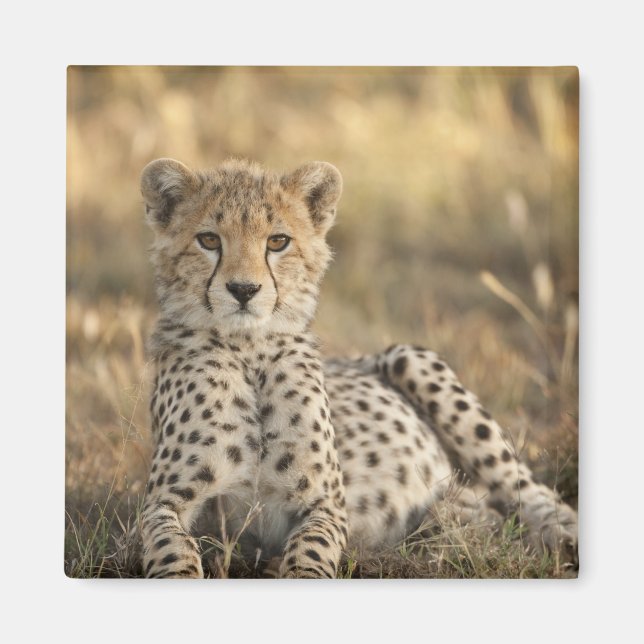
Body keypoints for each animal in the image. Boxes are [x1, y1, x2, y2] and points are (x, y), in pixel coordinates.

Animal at [139, 156, 578, 578]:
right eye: (209, 240)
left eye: (277, 241)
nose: (244, 290)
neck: (249, 351)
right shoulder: (163, 502)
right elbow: (171, 551)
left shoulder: (327, 502)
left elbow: (311, 555)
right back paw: (453, 514)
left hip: (411, 357)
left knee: (528, 489)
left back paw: (562, 535)